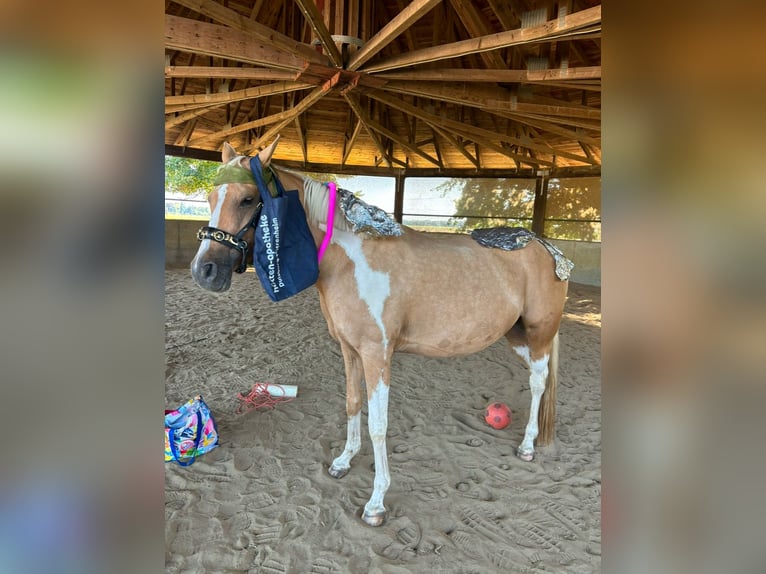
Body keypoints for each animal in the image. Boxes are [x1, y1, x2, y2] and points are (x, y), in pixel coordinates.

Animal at [192, 138, 568, 528]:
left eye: (248, 199)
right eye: (211, 197)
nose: (205, 271)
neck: (350, 262)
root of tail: (546, 247)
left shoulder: (377, 354)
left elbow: (378, 423)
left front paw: (376, 502)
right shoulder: (349, 349)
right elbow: (352, 403)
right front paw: (343, 461)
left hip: (540, 333)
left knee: (538, 382)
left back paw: (527, 446)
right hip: (517, 336)